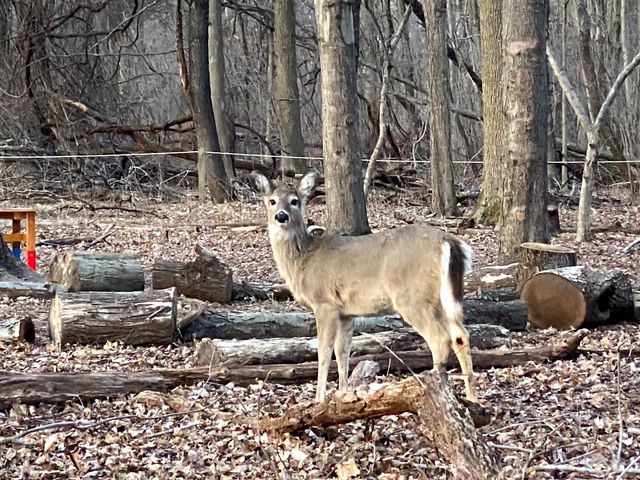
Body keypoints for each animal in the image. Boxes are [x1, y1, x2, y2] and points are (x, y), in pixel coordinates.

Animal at [252, 170, 477, 403]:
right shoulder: (346, 313)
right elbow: (342, 351)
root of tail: (448, 241)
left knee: (440, 338)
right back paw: (471, 397)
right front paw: (343, 393)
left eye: (294, 201)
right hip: (443, 297)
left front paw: (319, 399)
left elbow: (324, 350)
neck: (304, 260)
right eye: (272, 201)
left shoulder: (325, 303)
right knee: (460, 335)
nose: (281, 216)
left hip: (412, 296)